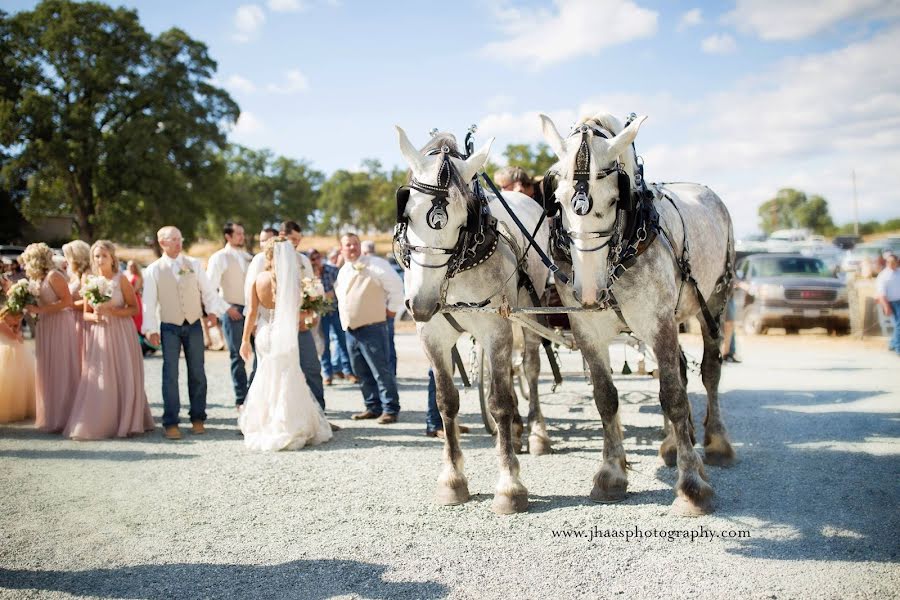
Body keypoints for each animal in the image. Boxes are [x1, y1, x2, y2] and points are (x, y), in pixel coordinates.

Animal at [398, 124, 552, 512]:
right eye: (406, 212)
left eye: (459, 219)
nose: (421, 304)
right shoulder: (432, 337)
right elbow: (446, 402)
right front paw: (452, 479)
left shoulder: (495, 329)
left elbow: (499, 402)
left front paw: (510, 485)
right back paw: (517, 429)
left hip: (528, 312)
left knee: (529, 368)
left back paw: (537, 432)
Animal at [536, 113, 736, 516]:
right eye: (558, 201)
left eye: (615, 199)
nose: (588, 291)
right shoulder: (588, 330)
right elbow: (606, 398)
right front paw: (611, 475)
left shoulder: (658, 324)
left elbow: (673, 397)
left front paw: (692, 486)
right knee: (678, 370)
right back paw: (674, 444)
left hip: (715, 301)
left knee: (709, 372)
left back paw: (717, 443)